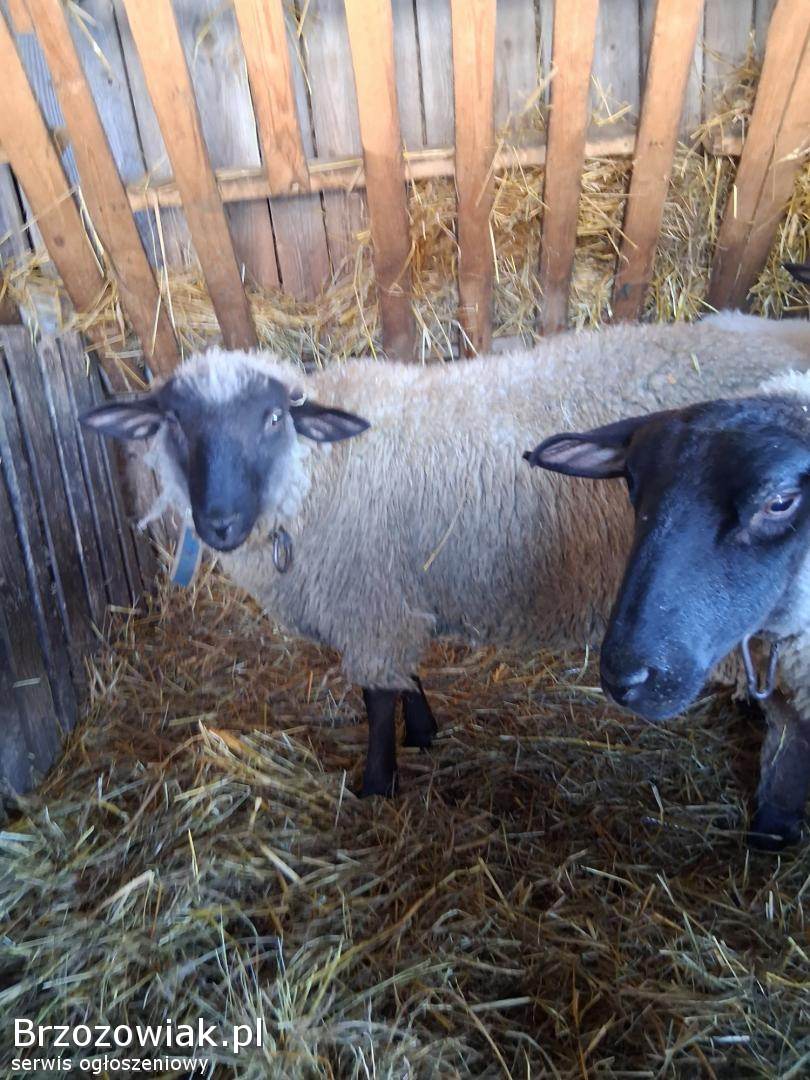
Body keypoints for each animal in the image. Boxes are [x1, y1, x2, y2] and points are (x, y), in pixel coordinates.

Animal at [81, 312, 810, 799]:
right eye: (174, 423)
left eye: (272, 419)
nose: (220, 524)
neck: (317, 475)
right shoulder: (394, 593)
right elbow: (407, 676)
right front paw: (425, 730)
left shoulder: (368, 600)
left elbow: (377, 696)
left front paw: (377, 783)